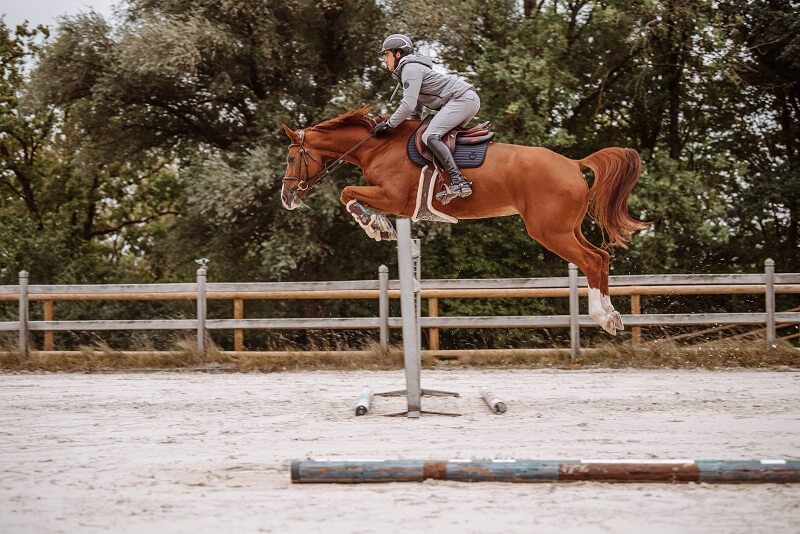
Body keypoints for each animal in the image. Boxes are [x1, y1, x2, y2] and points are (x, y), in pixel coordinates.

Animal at [278, 105, 648, 336]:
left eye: (292, 157)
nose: (287, 197)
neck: (378, 146)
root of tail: (573, 163)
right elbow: (349, 194)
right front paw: (378, 224)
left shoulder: (393, 197)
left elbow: (346, 193)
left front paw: (374, 226)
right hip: (566, 228)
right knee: (601, 257)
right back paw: (613, 317)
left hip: (549, 231)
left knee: (591, 260)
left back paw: (602, 317)